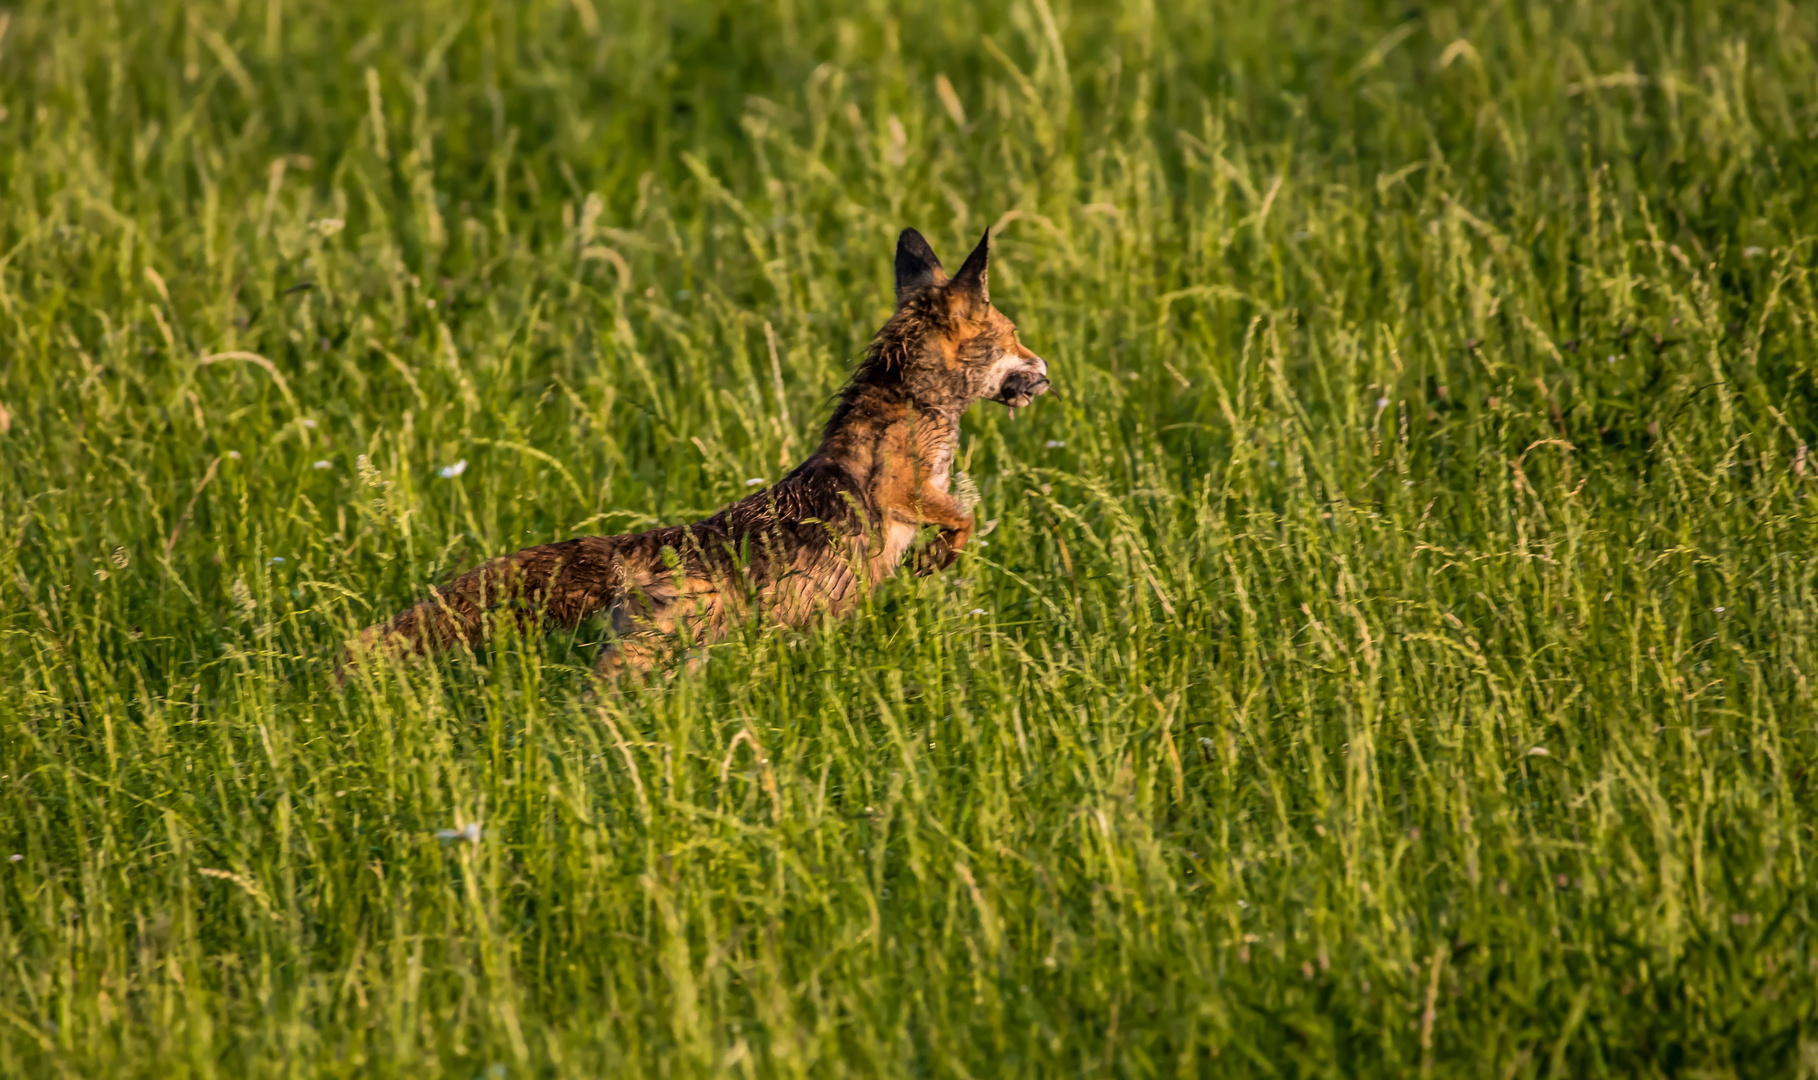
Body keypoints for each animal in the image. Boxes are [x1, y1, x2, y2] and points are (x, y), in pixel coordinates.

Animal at [341, 227, 1054, 680]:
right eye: (1014, 336)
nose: (1047, 371)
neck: (915, 406)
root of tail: (640, 551)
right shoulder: (900, 492)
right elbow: (961, 520)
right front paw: (935, 560)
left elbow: (963, 519)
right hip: (649, 656)